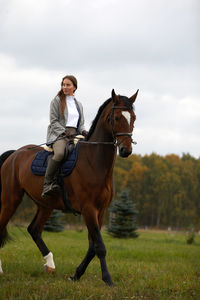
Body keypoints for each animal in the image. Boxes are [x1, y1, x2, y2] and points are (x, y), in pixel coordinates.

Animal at [0, 89, 138, 286]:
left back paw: (50, 264)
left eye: (133, 117)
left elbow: (92, 246)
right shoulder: (88, 209)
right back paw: (1, 269)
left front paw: (76, 275)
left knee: (34, 230)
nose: (126, 150)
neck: (93, 161)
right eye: (117, 118)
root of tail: (14, 154)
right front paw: (108, 279)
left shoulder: (101, 210)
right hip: (11, 199)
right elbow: (99, 246)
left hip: (46, 205)